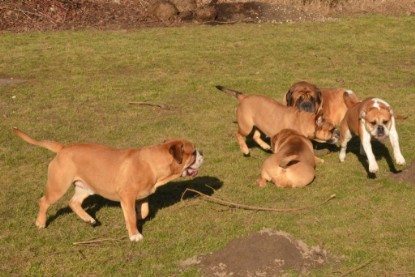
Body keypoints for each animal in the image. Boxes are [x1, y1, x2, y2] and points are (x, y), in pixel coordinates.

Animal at [14, 126, 205, 239]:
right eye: (193, 152)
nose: (202, 152)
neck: (153, 163)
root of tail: (63, 148)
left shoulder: (142, 196)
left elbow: (143, 211)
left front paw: (137, 217)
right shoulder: (127, 196)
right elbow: (132, 216)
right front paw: (135, 234)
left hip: (86, 187)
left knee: (73, 202)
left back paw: (89, 219)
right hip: (58, 185)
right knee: (44, 201)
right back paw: (41, 222)